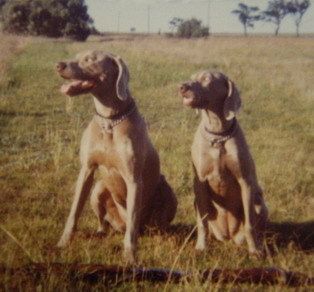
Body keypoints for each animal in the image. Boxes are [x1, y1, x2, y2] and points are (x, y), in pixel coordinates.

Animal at [55, 51, 177, 264]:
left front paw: (130, 256)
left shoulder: (134, 180)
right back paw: (100, 231)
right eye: (77, 56)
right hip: (98, 189)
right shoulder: (86, 170)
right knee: (105, 222)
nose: (59, 65)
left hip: (168, 193)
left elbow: (132, 226)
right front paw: (63, 242)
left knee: (152, 226)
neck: (109, 121)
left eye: (90, 59)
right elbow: (74, 211)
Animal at [179, 70, 268, 256]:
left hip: (260, 203)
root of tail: (228, 236)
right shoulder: (200, 181)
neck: (218, 135)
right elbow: (202, 223)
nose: (182, 87)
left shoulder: (245, 181)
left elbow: (250, 224)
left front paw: (254, 250)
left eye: (207, 79)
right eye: (192, 77)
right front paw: (201, 247)